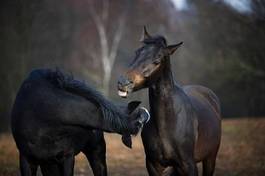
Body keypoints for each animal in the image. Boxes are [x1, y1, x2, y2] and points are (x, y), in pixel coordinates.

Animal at [117, 26, 221, 175]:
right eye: (137, 52)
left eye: (157, 60)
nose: (123, 83)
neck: (168, 123)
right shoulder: (154, 165)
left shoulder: (189, 165)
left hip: (210, 158)